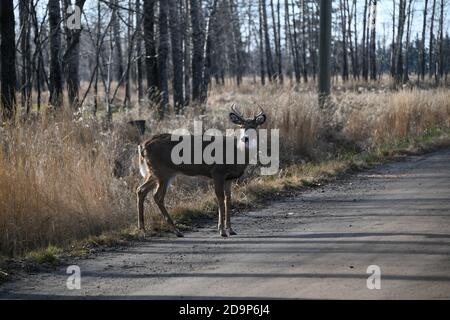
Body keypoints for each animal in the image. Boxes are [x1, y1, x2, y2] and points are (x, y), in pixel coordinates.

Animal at [135, 105, 266, 238]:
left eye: (254, 126)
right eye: (241, 126)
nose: (245, 138)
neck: (236, 153)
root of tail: (143, 145)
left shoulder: (229, 178)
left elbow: (228, 199)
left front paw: (231, 229)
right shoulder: (218, 172)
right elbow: (220, 198)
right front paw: (222, 230)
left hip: (156, 172)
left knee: (141, 190)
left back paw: (143, 228)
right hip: (162, 171)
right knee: (157, 196)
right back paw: (176, 230)